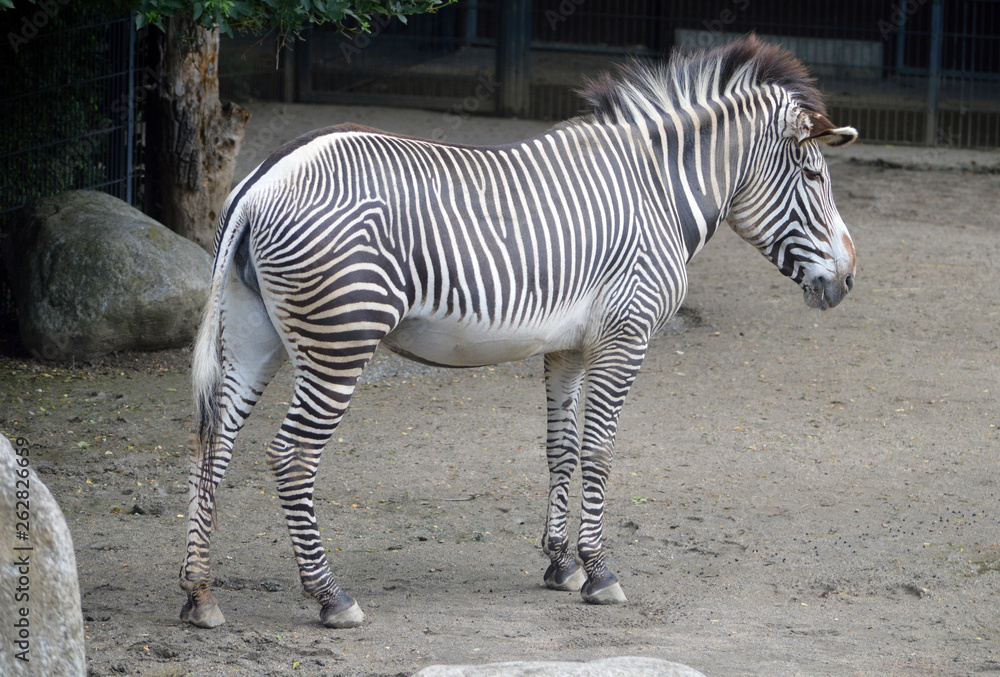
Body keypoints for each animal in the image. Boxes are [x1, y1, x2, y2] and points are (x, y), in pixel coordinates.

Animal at [179, 36, 858, 629]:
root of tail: (260, 182)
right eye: (815, 177)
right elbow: (599, 450)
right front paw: (600, 572)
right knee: (291, 456)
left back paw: (200, 594)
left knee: (212, 443)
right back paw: (329, 596)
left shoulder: (569, 347)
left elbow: (561, 449)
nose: (849, 280)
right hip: (339, 339)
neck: (658, 190)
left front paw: (560, 565)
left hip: (253, 335)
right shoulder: (626, 335)